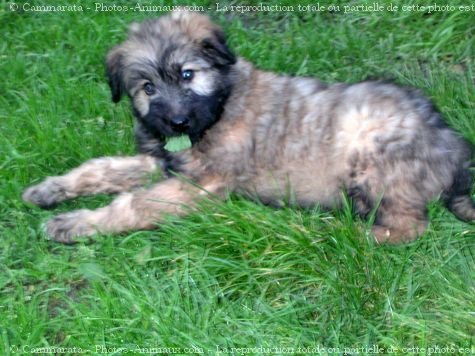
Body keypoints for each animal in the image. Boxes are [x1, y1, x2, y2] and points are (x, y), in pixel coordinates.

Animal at [23, 11, 475, 245]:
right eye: (147, 88)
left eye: (187, 74)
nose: (177, 122)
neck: (221, 105)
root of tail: (453, 145)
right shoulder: (164, 163)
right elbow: (103, 168)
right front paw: (50, 189)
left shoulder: (203, 184)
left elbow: (135, 203)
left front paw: (76, 224)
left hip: (373, 150)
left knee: (408, 226)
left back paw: (343, 232)